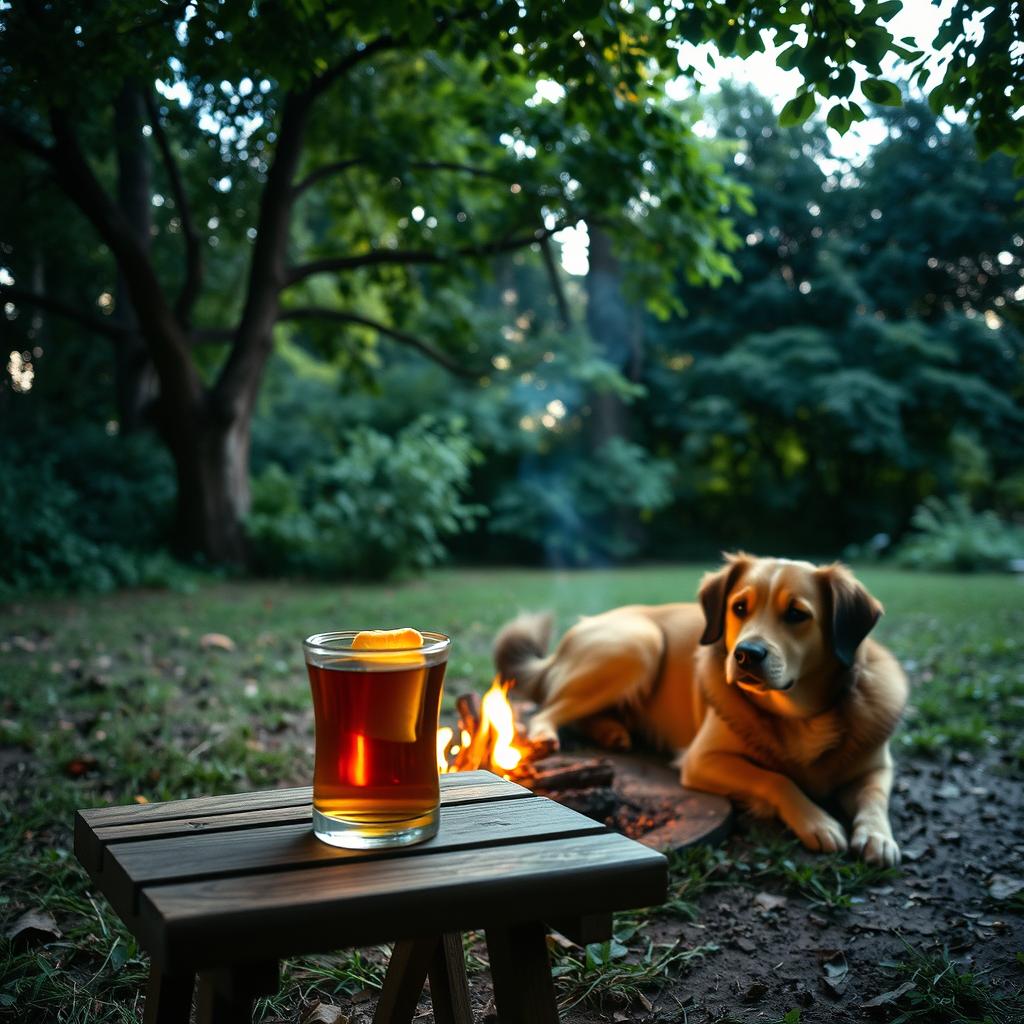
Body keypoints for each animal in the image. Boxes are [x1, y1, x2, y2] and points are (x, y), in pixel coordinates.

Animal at [493, 552, 905, 864]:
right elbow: (775, 778)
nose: (746, 654)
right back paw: (550, 736)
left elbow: (875, 796)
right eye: (739, 607)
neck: (800, 716)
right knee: (545, 710)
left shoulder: (878, 766)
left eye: (796, 614)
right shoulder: (701, 759)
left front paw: (878, 836)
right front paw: (817, 821)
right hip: (639, 644)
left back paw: (613, 732)